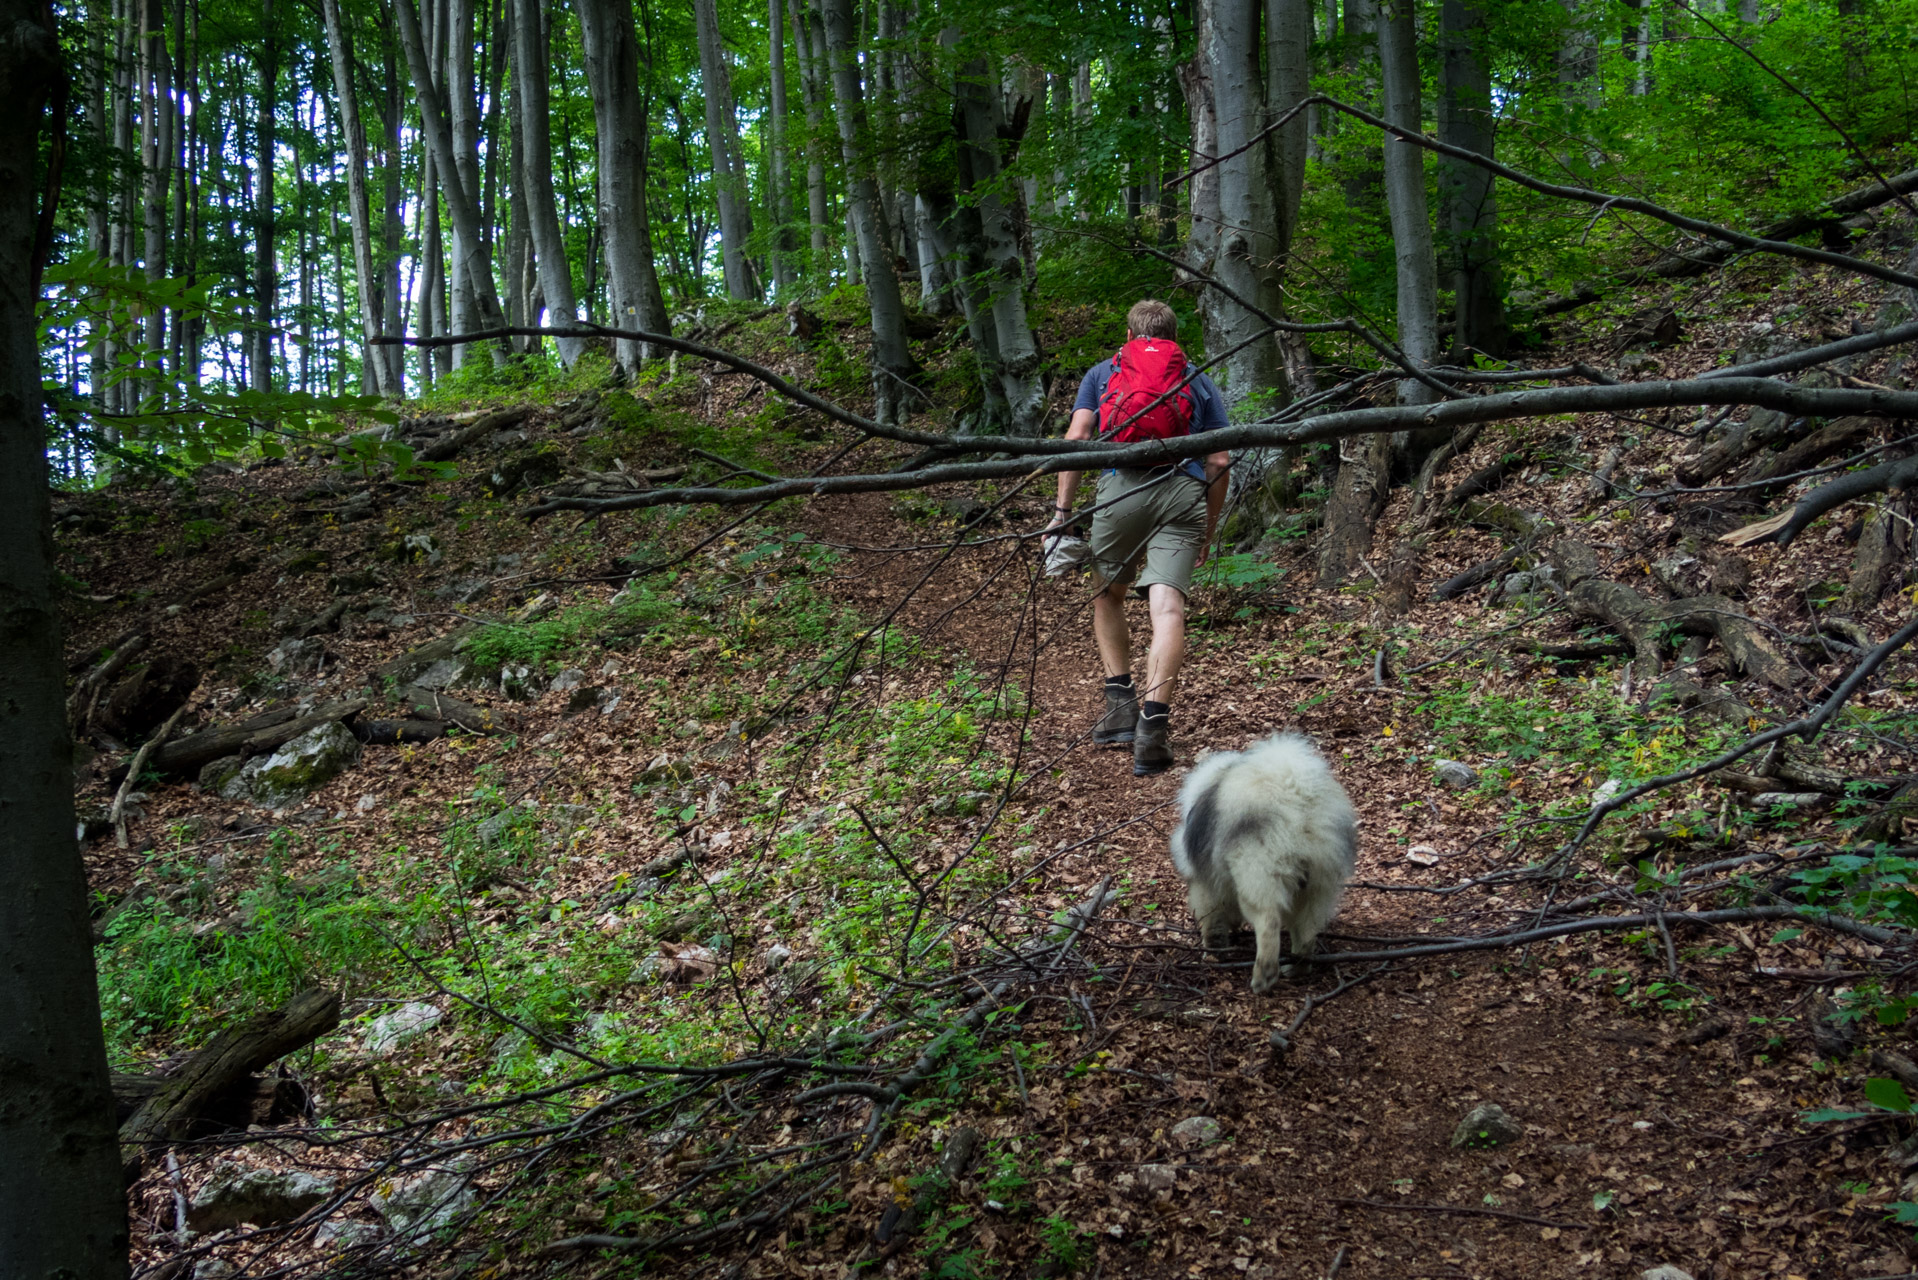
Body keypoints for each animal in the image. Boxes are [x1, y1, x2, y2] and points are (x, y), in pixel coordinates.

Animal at [1158, 736, 1357, 997]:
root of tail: (1300, 806)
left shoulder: (1205, 888)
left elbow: (1211, 923)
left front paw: (1213, 952)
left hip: (1257, 878)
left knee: (1268, 924)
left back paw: (1263, 977)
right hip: (1316, 888)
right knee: (1305, 934)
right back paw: (1296, 968)